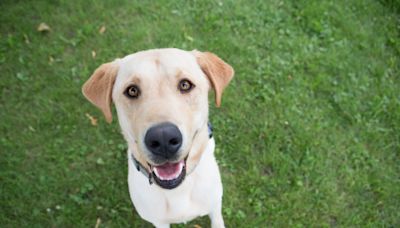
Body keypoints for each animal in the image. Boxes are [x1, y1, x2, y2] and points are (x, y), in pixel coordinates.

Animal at [83, 47, 236, 226]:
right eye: (132, 90)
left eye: (185, 85)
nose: (163, 139)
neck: (177, 190)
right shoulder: (159, 222)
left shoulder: (215, 205)